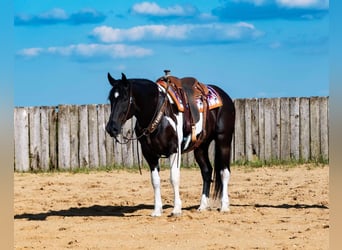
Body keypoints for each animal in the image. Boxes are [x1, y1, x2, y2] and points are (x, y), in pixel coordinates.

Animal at [106, 71, 235, 216]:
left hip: (223, 141)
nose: (111, 128)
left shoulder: (174, 150)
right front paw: (157, 210)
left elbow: (174, 178)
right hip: (201, 146)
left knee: (224, 172)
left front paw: (176, 209)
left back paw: (224, 206)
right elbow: (155, 181)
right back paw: (202, 206)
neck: (158, 112)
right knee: (207, 172)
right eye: (110, 98)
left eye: (124, 98)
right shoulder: (149, 155)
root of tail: (224, 96)